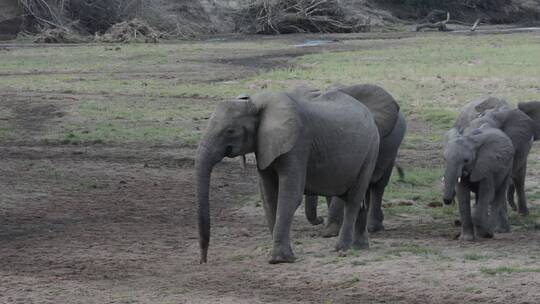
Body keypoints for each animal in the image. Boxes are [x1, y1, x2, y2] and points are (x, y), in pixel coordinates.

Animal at [196, 86, 390, 264]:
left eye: (230, 131)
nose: (204, 260)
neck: (255, 103)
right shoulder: (264, 146)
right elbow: (269, 196)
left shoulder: (297, 144)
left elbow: (290, 195)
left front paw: (279, 260)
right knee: (358, 199)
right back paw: (360, 247)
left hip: (371, 150)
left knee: (354, 198)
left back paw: (342, 248)